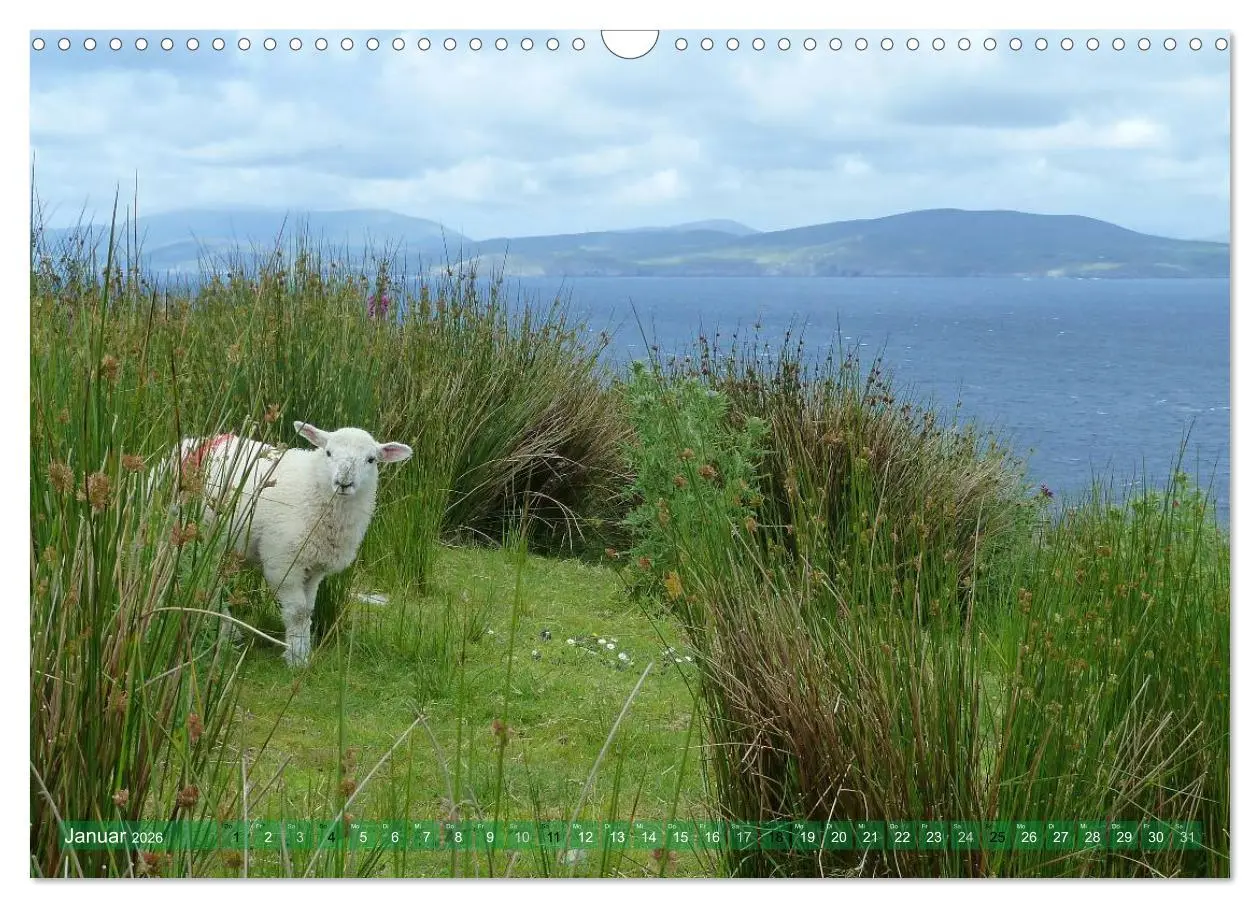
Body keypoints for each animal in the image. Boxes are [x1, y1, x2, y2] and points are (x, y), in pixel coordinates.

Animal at [165, 421, 413, 666]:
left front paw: (302, 651)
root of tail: (197, 441)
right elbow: (298, 612)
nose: (344, 482)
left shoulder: (315, 568)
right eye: (328, 452)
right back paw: (222, 631)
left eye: (371, 460)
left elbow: (309, 610)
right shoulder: (282, 562)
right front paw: (297, 658)